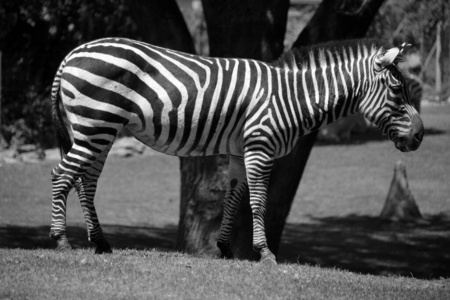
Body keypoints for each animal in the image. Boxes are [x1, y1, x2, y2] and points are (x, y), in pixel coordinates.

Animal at [50, 37, 426, 264]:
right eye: (397, 90)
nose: (421, 135)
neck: (291, 97)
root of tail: (72, 53)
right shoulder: (261, 145)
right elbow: (258, 201)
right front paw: (265, 253)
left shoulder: (239, 151)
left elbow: (233, 198)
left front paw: (226, 249)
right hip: (96, 124)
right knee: (61, 175)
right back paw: (61, 241)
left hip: (101, 129)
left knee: (86, 181)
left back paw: (100, 243)